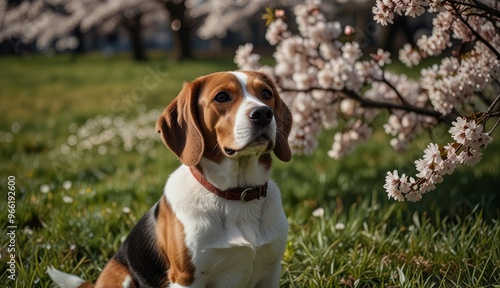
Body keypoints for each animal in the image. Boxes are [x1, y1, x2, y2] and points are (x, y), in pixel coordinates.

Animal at [48, 70, 292, 288]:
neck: (237, 194)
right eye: (222, 97)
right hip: (123, 277)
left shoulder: (271, 271)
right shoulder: (185, 277)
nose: (263, 114)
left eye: (266, 93)